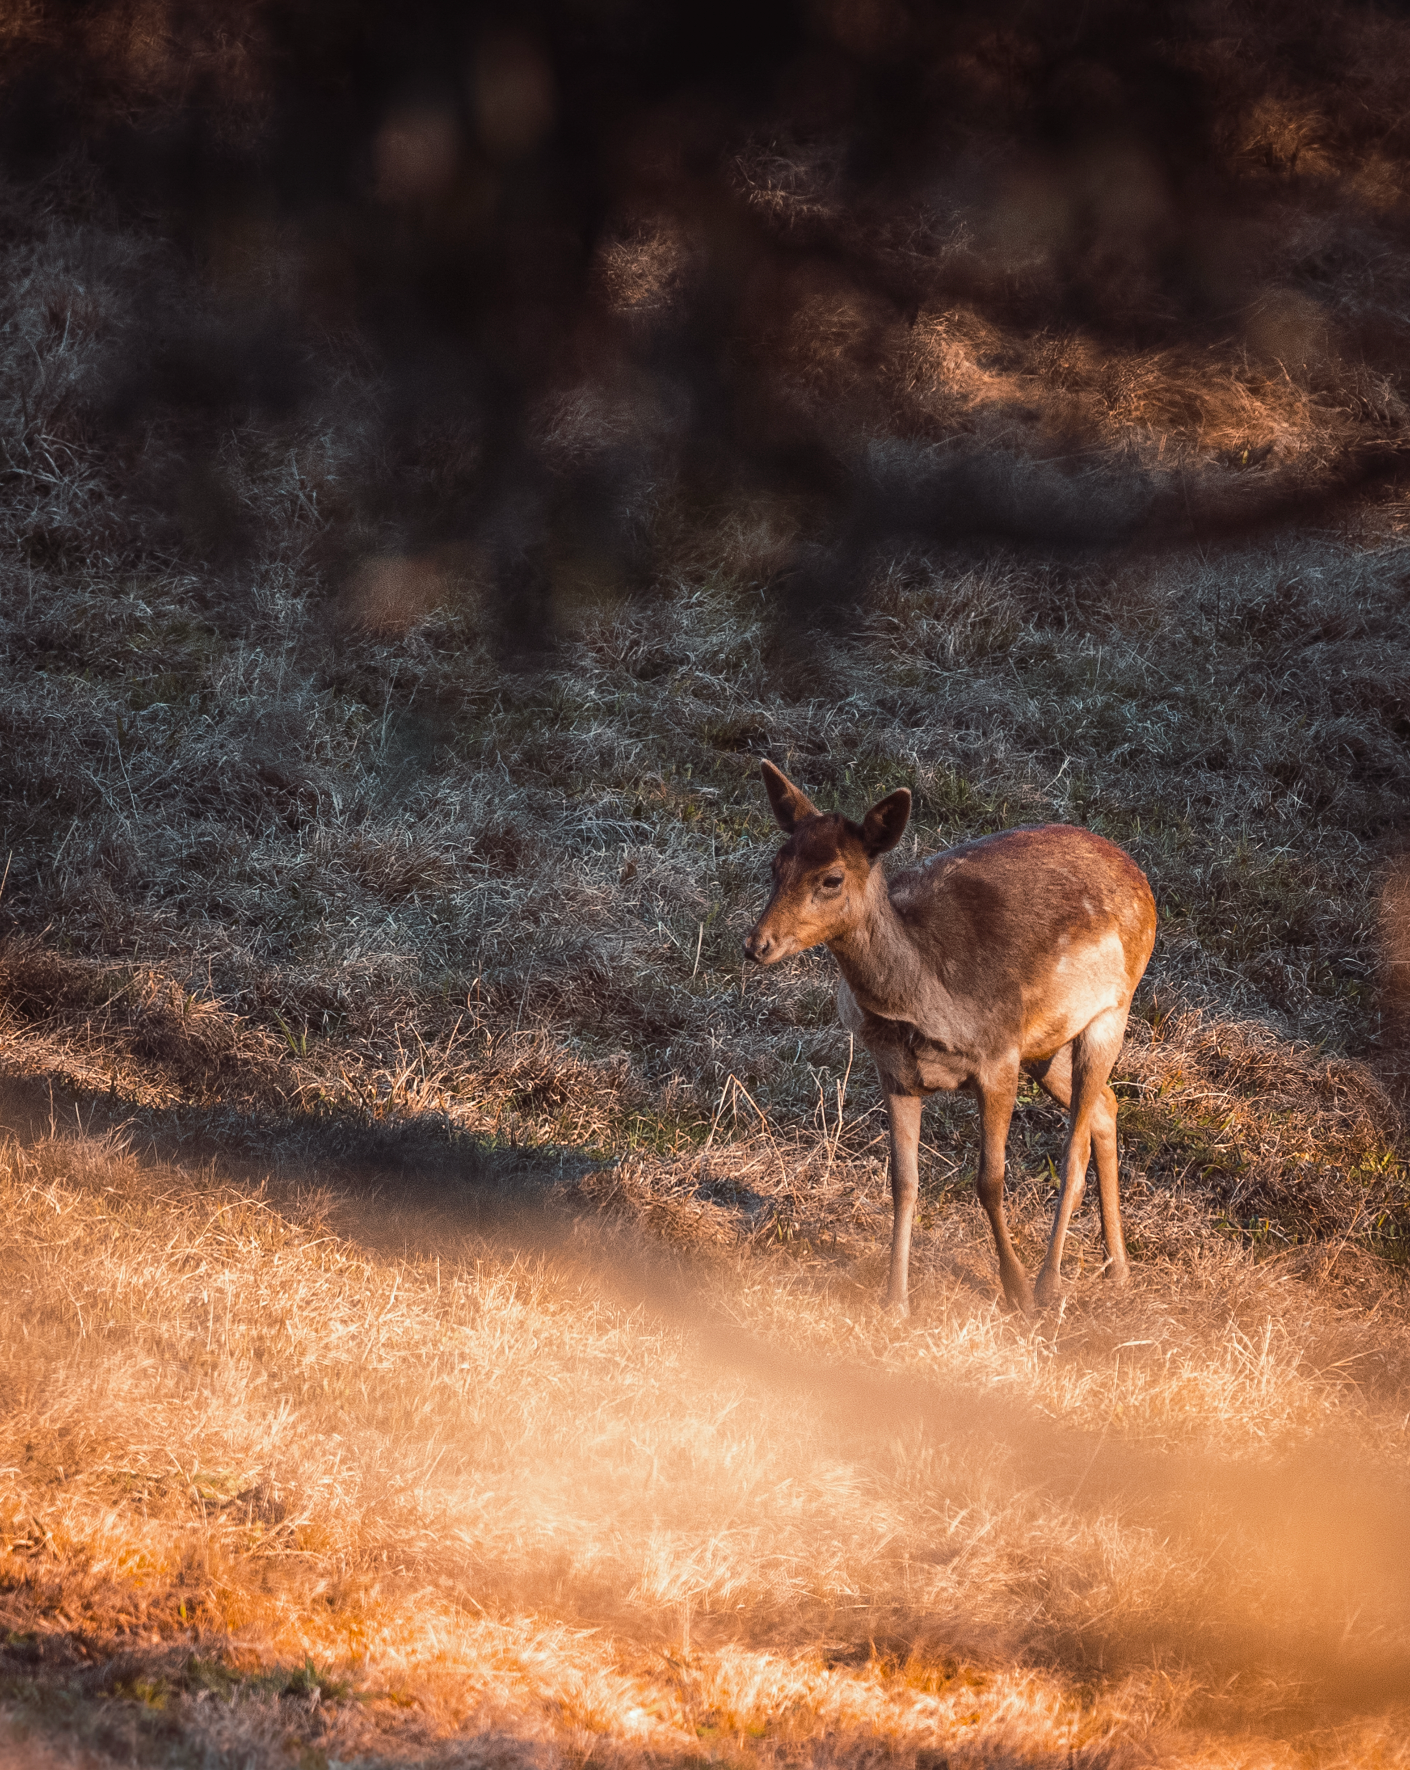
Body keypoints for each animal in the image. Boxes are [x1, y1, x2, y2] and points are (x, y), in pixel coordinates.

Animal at [744, 761, 1157, 1317]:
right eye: (776, 865)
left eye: (831, 878)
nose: (756, 944)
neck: (922, 1004)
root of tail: (1140, 876)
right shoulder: (894, 1070)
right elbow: (903, 1183)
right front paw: (895, 1301)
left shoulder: (998, 1056)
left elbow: (990, 1181)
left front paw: (1015, 1290)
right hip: (1045, 1047)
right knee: (1107, 1108)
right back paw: (1118, 1267)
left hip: (1113, 1009)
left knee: (1075, 1148)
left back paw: (1051, 1283)